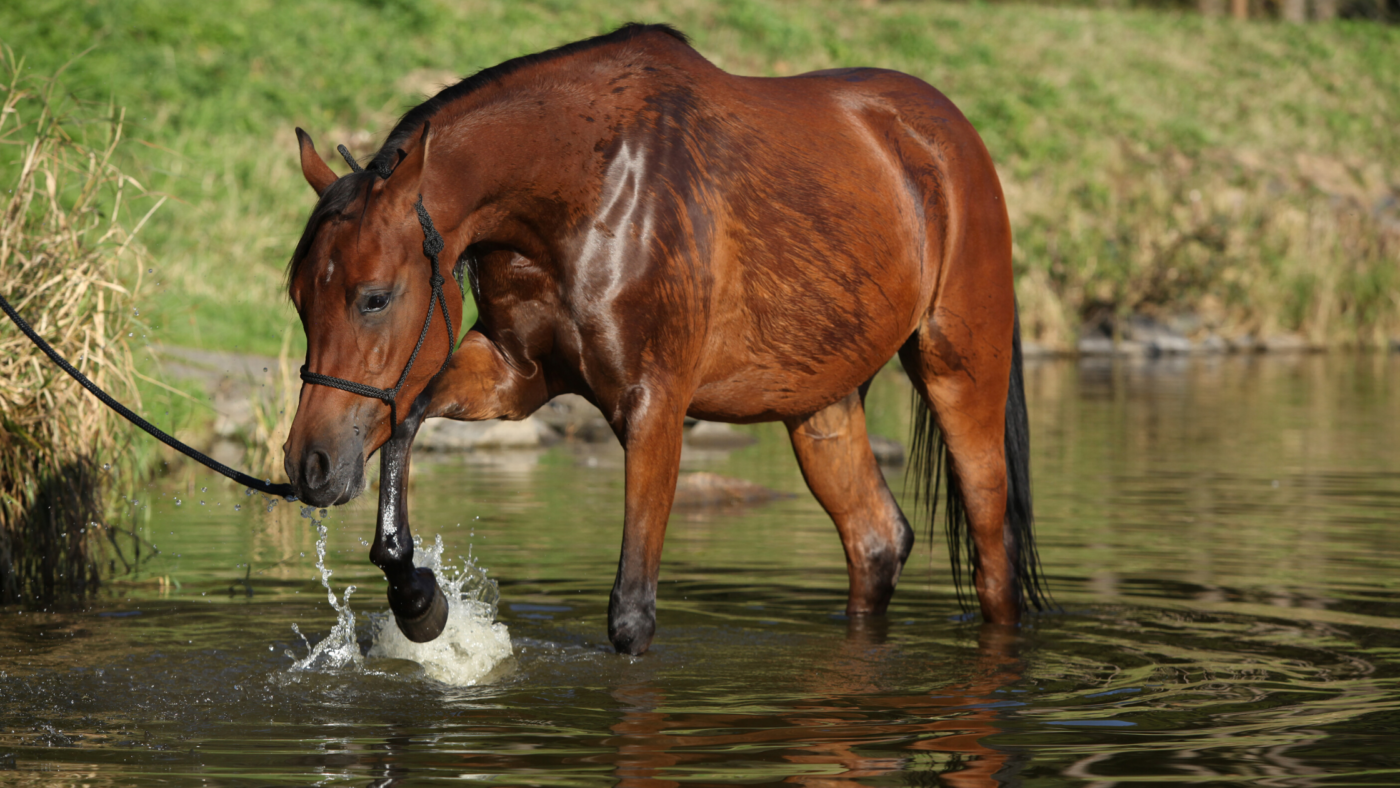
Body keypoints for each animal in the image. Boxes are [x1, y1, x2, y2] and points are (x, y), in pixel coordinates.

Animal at [284, 24, 1047, 657]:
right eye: (297, 297)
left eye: (375, 297)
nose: (308, 466)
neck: (593, 187)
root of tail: (949, 139)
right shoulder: (512, 375)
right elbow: (405, 416)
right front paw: (417, 596)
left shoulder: (654, 406)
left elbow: (631, 614)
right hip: (819, 404)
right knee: (876, 541)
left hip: (959, 373)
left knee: (993, 557)